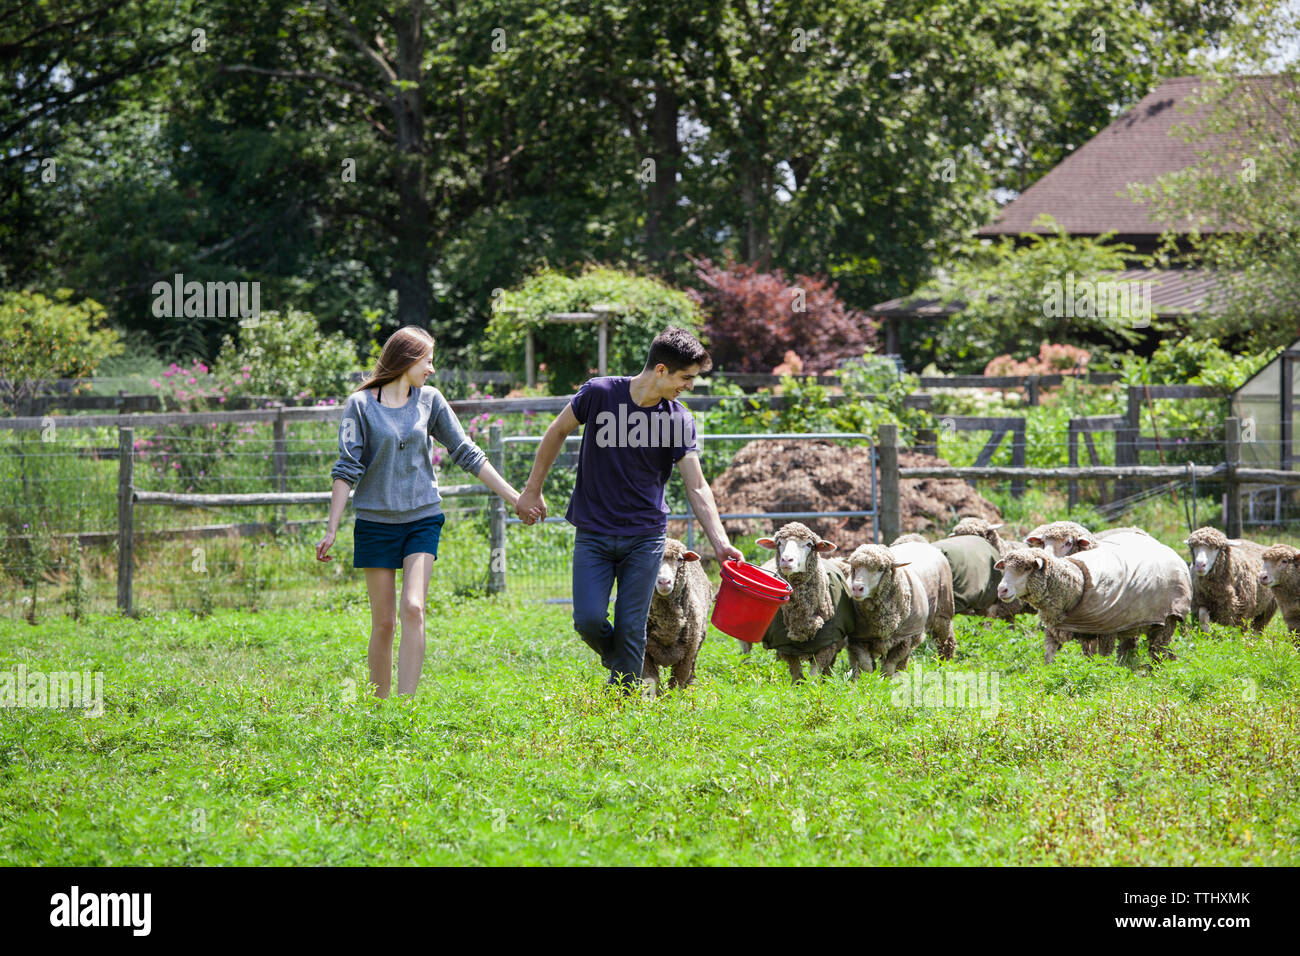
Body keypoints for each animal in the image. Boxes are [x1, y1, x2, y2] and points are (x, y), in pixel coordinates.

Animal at [642, 538, 712, 697]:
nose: (664, 582)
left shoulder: (687, 655)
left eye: (679, 559)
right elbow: (651, 679)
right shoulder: (646, 652)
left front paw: (674, 700)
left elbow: (677, 683)